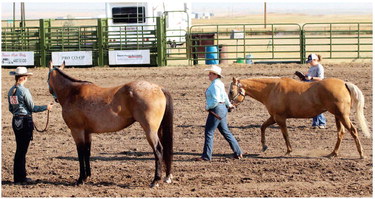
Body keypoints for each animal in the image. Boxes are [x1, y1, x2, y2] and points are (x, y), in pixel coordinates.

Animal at [47, 61, 175, 187]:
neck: (73, 92)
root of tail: (158, 88)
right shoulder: (87, 132)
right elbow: (87, 152)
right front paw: (87, 176)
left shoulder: (77, 131)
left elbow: (81, 152)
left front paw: (81, 179)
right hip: (158, 130)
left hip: (150, 131)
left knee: (158, 150)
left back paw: (155, 180)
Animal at [229, 76, 370, 159]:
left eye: (231, 91)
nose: (229, 107)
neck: (271, 89)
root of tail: (344, 83)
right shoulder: (274, 117)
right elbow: (263, 127)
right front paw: (264, 146)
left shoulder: (280, 118)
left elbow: (285, 134)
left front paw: (289, 151)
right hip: (337, 116)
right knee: (341, 133)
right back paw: (333, 153)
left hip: (342, 115)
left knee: (353, 131)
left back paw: (361, 154)